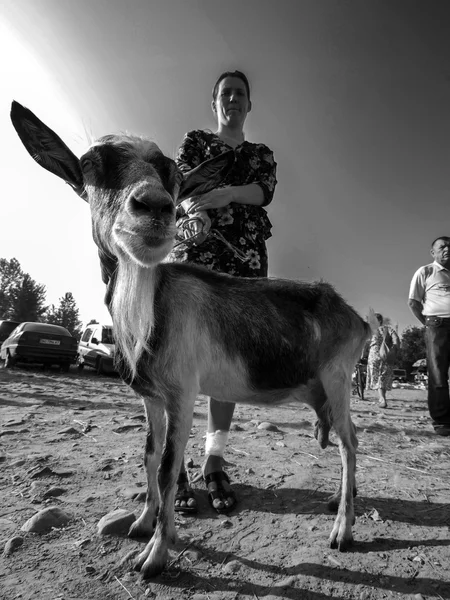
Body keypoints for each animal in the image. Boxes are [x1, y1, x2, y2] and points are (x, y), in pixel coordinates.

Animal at [12, 101, 374, 580]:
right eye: (90, 165)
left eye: (174, 175)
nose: (154, 207)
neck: (150, 312)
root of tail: (357, 318)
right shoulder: (151, 397)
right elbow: (150, 455)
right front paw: (142, 523)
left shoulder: (183, 392)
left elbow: (168, 467)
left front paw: (155, 555)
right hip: (322, 389)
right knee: (340, 440)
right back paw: (337, 501)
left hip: (338, 378)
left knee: (351, 443)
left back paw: (342, 532)